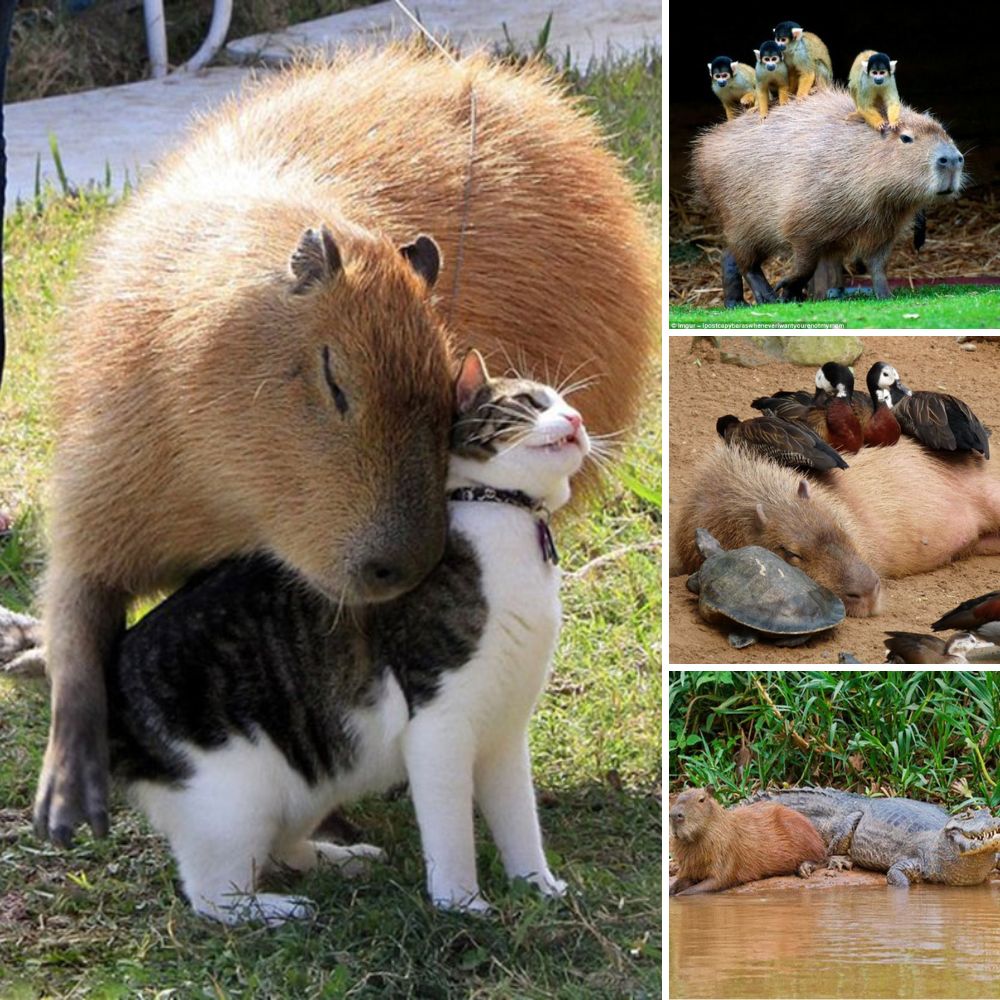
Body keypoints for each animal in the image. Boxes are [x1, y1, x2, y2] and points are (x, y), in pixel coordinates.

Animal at [35, 45, 660, 844]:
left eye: (445, 378)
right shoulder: (102, 475)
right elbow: (77, 609)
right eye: (333, 376)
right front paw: (65, 803)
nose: (402, 567)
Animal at [105, 348, 588, 924]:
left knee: (279, 847)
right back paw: (279, 909)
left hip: (306, 780)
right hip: (231, 802)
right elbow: (451, 833)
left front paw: (538, 885)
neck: (504, 515)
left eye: (568, 404)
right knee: (213, 895)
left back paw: (339, 859)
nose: (576, 419)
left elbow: (519, 818)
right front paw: (461, 903)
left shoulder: (505, 729)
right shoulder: (440, 725)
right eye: (533, 402)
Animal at [672, 784, 828, 896]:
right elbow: (681, 881)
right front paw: (672, 890)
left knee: (824, 858)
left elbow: (716, 881)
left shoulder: (726, 852)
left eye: (701, 799)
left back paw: (805, 868)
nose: (674, 815)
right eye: (678, 797)